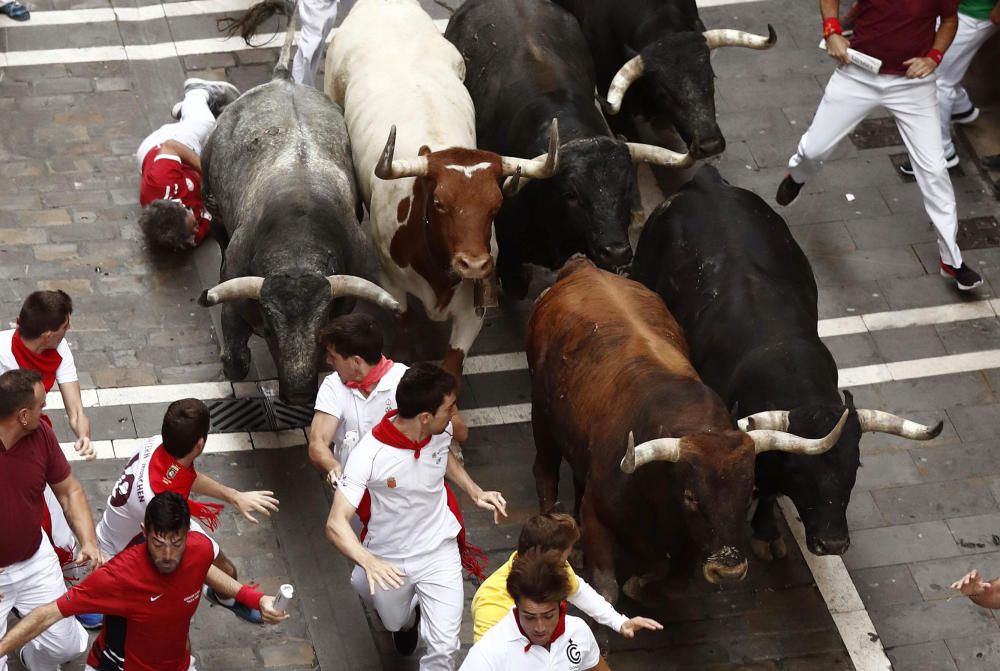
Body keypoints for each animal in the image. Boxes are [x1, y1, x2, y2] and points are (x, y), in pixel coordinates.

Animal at [528, 258, 848, 604]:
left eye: (749, 491)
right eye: (691, 496)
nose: (729, 571)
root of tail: (582, 267)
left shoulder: (690, 545)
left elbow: (673, 583)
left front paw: (641, 582)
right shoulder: (597, 518)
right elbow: (607, 589)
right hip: (541, 417)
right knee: (545, 472)